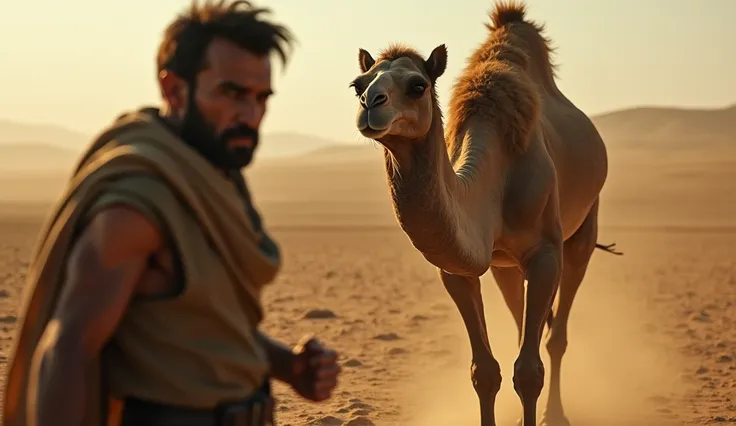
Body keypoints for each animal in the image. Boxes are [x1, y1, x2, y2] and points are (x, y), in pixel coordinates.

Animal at [348, 2, 620, 426]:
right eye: (358, 84)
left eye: (417, 85)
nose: (369, 106)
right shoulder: (457, 270)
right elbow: (486, 371)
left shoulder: (545, 253)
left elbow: (530, 370)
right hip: (505, 265)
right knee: (526, 322)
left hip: (583, 229)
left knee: (555, 335)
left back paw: (555, 413)